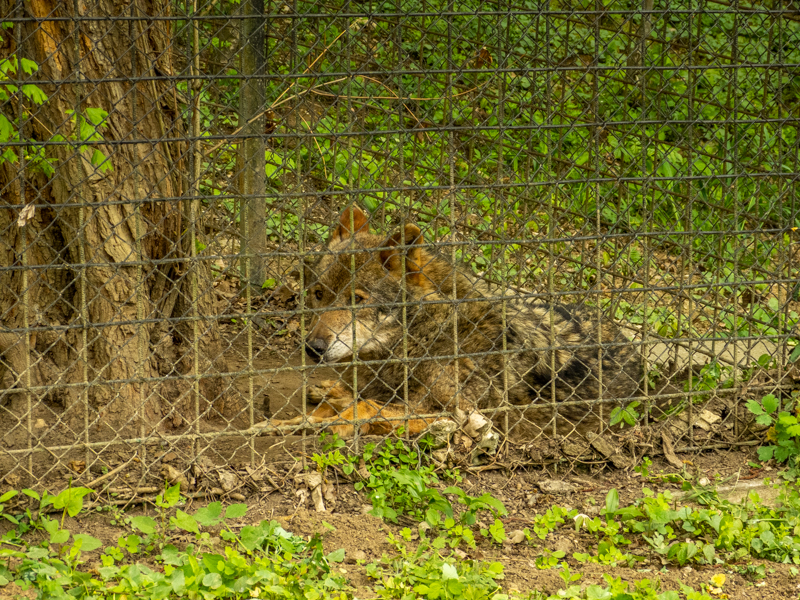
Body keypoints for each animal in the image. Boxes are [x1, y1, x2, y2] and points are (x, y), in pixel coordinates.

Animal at [263, 206, 644, 438]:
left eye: (358, 299)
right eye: (318, 294)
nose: (313, 348)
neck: (429, 333)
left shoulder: (452, 415)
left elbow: (365, 407)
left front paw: (335, 424)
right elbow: (342, 405)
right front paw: (291, 421)